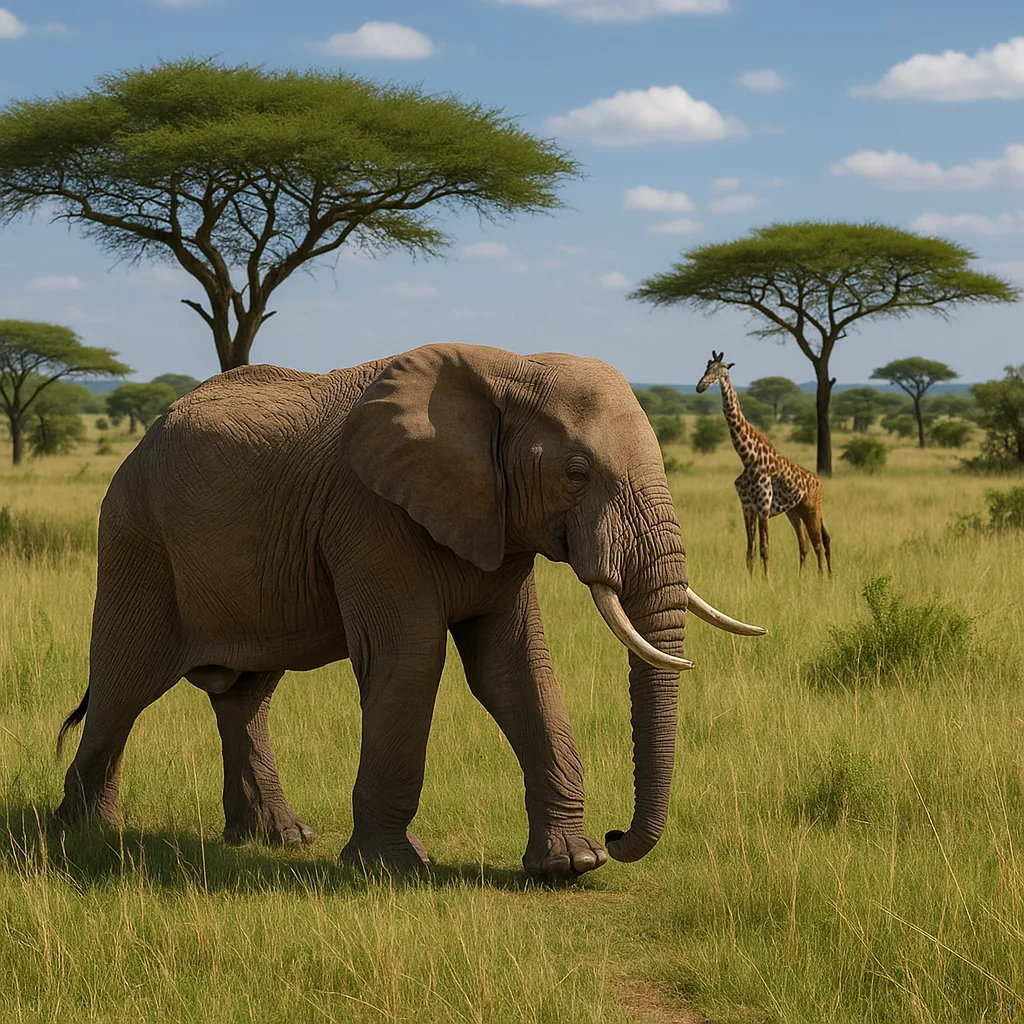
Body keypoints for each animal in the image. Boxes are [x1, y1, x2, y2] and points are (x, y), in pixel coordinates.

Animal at [56, 343, 765, 878]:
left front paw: (570, 864)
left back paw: (277, 838)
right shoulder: (369, 514)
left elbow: (515, 670)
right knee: (123, 687)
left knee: (244, 695)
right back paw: (84, 835)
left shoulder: (494, 521)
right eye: (576, 471)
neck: (509, 368)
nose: (619, 838)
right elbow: (412, 660)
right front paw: (391, 870)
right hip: (135, 539)